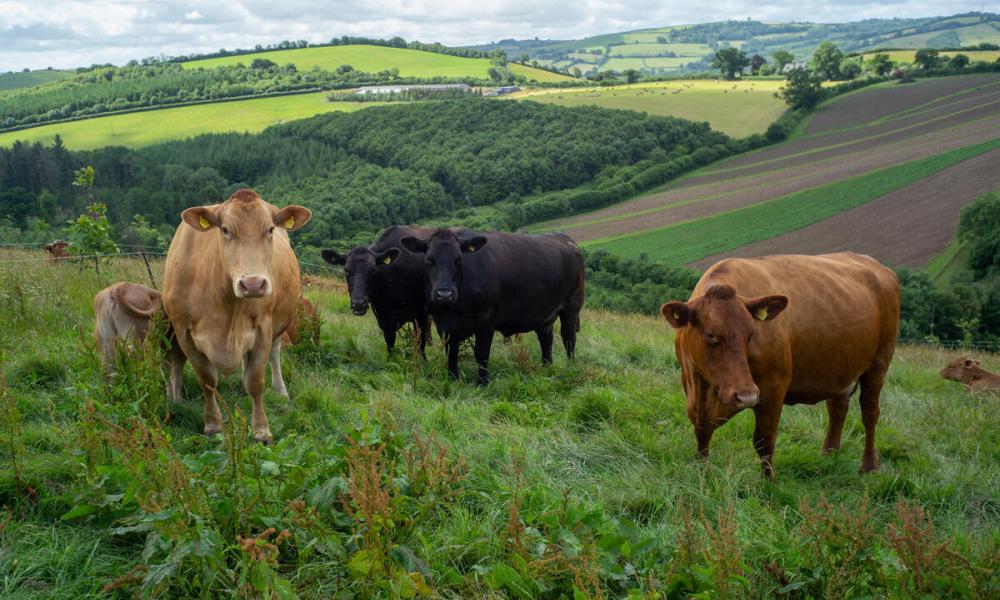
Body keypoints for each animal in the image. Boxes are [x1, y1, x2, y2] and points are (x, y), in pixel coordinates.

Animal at [162, 190, 310, 442]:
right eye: (225, 229)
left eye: (270, 229)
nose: (253, 284)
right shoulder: (183, 332)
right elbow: (207, 380)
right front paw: (213, 424)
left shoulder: (263, 328)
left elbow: (256, 381)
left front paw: (261, 429)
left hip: (279, 323)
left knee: (274, 353)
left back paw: (280, 390)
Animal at [320, 226, 430, 356]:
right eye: (346, 271)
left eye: (373, 270)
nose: (358, 303)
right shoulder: (384, 317)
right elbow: (390, 346)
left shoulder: (421, 314)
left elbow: (420, 346)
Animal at [398, 227, 584, 386]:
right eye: (429, 260)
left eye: (459, 260)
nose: (444, 294)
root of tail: (566, 239)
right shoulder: (444, 323)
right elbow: (451, 350)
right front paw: (452, 377)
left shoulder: (486, 318)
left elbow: (481, 353)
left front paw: (483, 382)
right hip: (544, 314)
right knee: (546, 339)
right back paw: (546, 368)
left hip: (571, 308)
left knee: (568, 338)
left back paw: (571, 367)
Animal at [664, 253, 900, 478]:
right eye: (711, 334)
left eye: (751, 334)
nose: (746, 395)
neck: (703, 390)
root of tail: (880, 267)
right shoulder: (694, 389)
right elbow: (702, 432)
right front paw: (700, 470)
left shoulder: (773, 388)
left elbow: (764, 440)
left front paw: (770, 482)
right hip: (842, 369)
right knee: (837, 409)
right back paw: (829, 454)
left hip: (880, 361)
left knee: (870, 412)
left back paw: (869, 465)